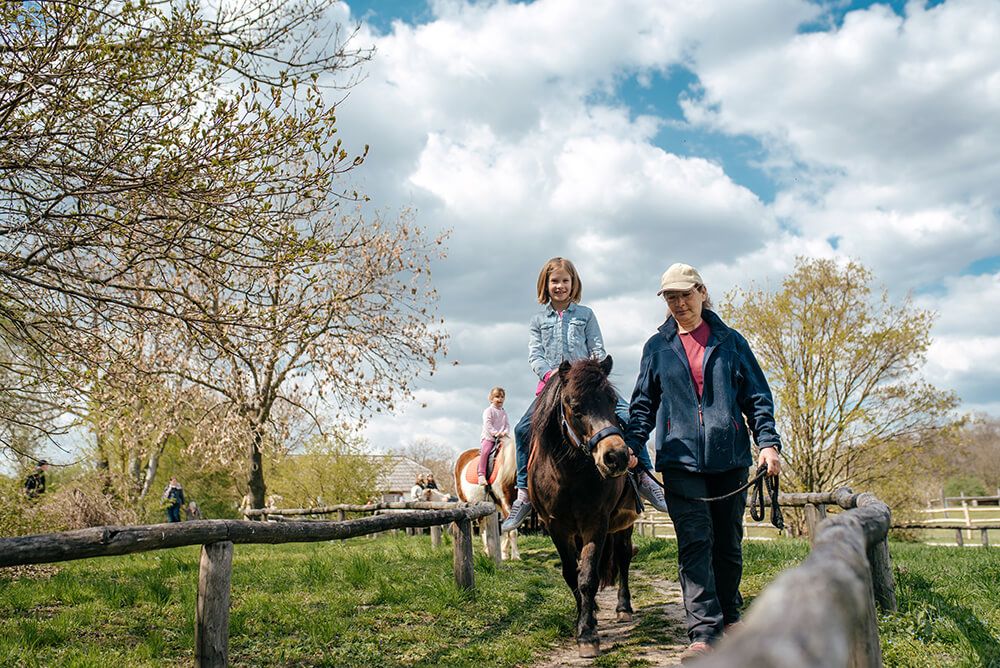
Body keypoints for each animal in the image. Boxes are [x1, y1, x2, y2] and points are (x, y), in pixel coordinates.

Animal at [528, 354, 636, 656]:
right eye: (575, 406)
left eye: (612, 401)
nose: (616, 457)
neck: (570, 475)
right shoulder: (556, 527)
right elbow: (571, 574)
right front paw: (586, 620)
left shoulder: (596, 524)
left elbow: (587, 576)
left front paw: (587, 634)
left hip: (623, 525)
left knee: (623, 557)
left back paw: (623, 608)